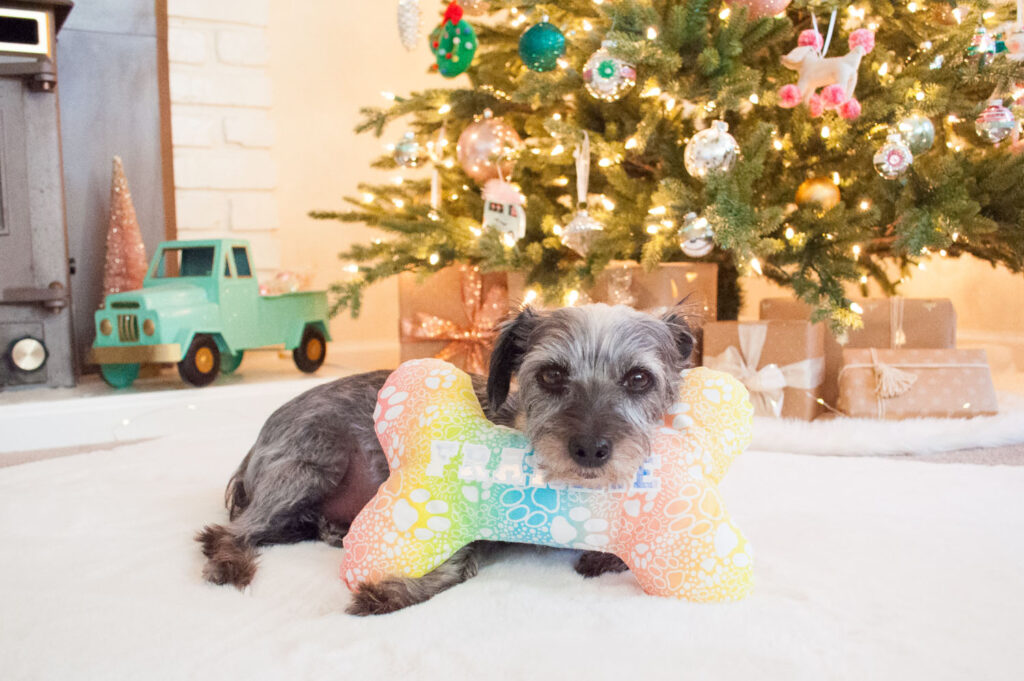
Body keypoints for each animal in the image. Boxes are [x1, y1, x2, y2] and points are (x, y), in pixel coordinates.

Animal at [197, 301, 696, 610]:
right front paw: (396, 589)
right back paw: (232, 565)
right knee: (223, 532)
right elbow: (461, 554)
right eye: (552, 374)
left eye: (638, 379)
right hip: (315, 460)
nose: (591, 449)